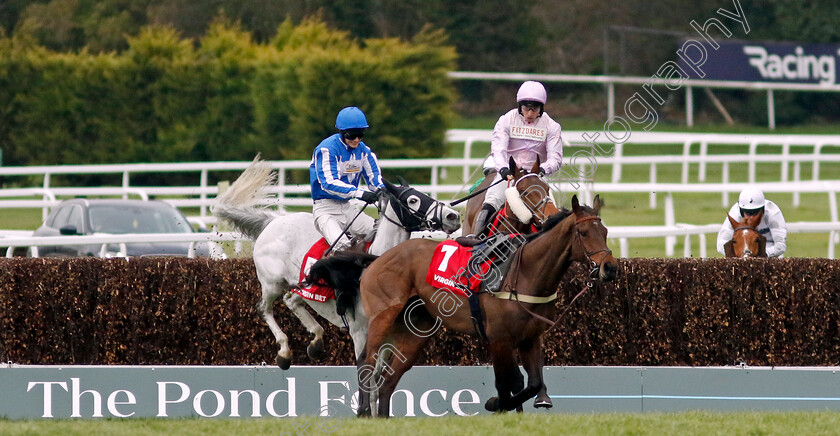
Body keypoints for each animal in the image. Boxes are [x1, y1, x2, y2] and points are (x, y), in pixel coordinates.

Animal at [210, 156, 460, 368]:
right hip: (272, 283)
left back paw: (316, 343)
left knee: (292, 300)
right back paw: (284, 352)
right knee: (264, 308)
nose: (453, 216)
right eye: (413, 199)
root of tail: (272, 222)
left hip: (305, 285)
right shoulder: (360, 333)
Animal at [316, 194, 616, 416]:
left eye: (605, 231)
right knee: (366, 361)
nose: (610, 268)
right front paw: (497, 405)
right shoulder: (499, 338)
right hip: (381, 317)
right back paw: (364, 411)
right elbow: (505, 382)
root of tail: (375, 259)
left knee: (389, 378)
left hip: (415, 330)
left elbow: (533, 383)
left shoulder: (531, 337)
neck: (523, 273)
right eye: (584, 232)